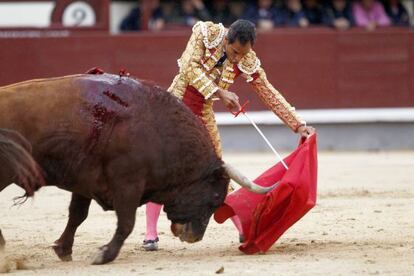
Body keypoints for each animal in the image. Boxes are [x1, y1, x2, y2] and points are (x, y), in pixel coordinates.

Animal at [0, 72, 272, 264]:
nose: (195, 237)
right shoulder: (127, 184)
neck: (158, 129)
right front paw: (105, 254)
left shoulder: (84, 180)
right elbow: (126, 222)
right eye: (215, 197)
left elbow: (77, 215)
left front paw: (63, 249)